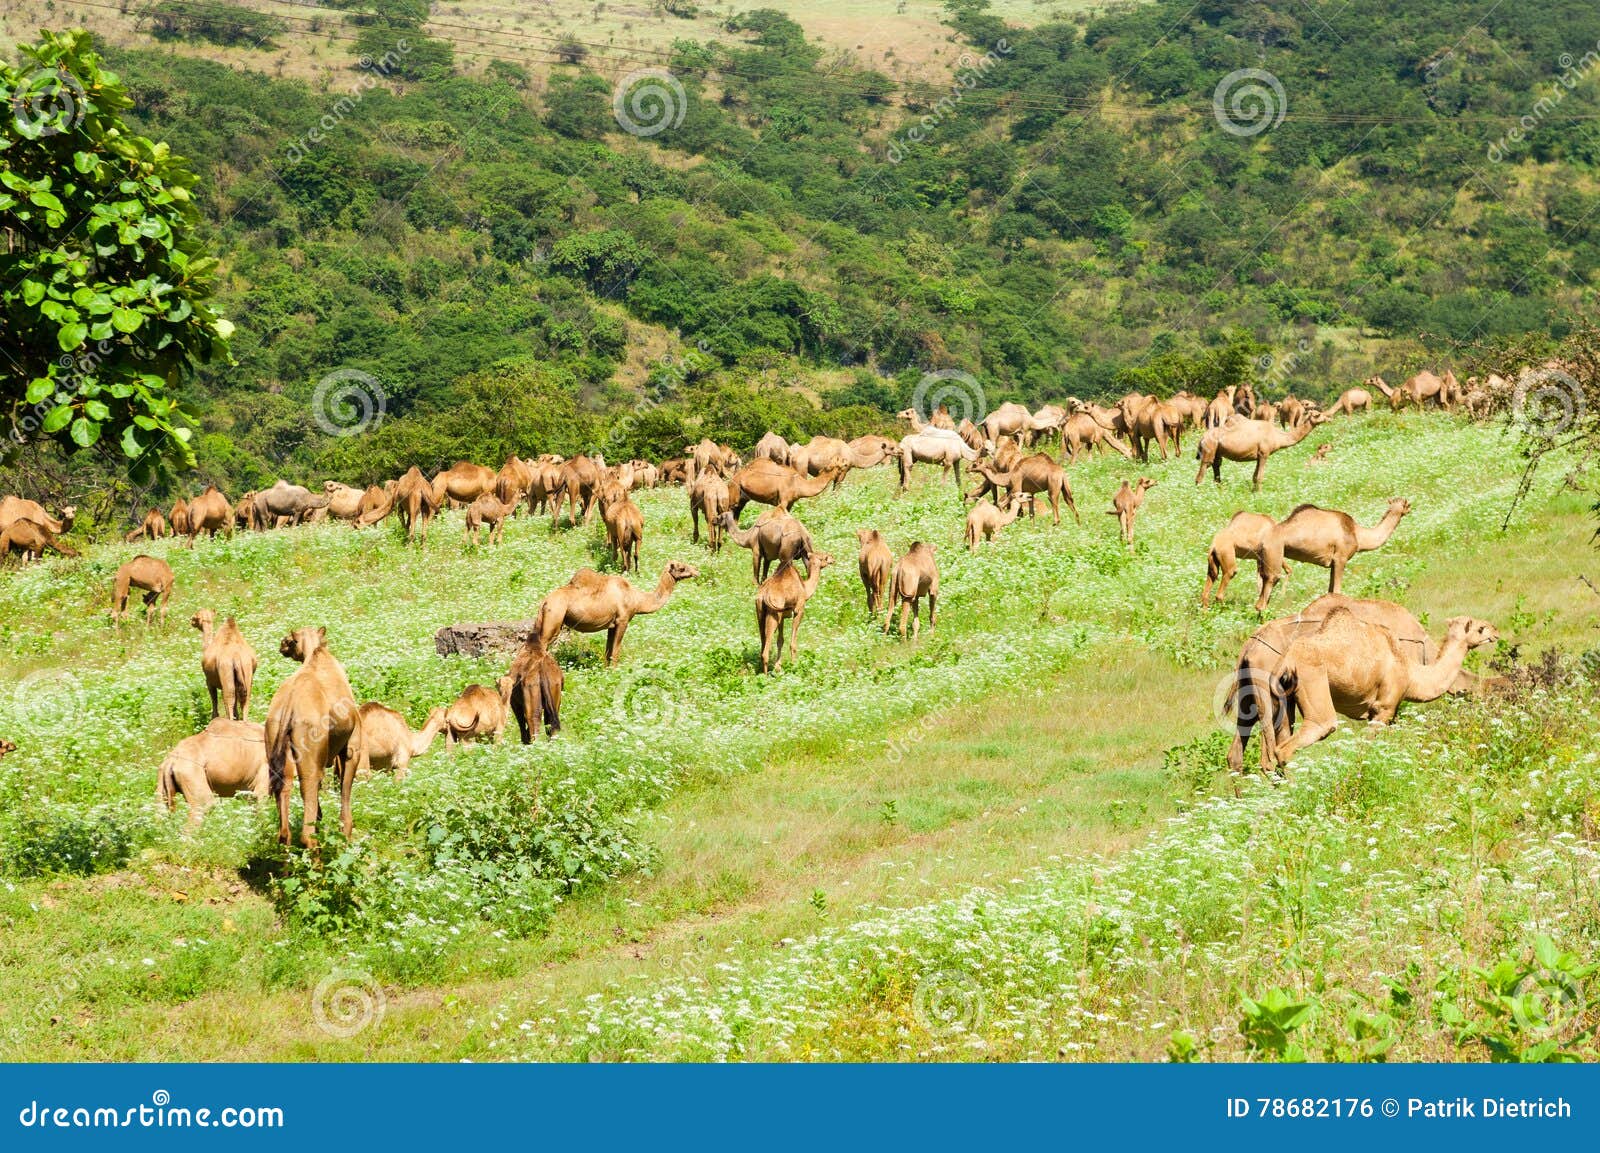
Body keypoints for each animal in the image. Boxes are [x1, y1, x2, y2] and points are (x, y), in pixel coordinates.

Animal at [265, 623, 366, 850]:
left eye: (291, 641)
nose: (282, 643)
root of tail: (289, 706)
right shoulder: (352, 748)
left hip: (276, 746)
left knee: (284, 827)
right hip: (311, 753)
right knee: (306, 830)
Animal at [534, 559, 697, 662]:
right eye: (682, 568)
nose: (697, 571)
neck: (636, 599)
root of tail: (544, 601)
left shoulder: (611, 625)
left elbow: (608, 652)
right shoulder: (622, 620)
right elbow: (616, 652)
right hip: (555, 616)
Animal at [1196, 412, 1331, 489]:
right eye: (1318, 414)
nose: (1329, 418)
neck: (1278, 436)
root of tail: (1202, 438)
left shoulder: (1258, 456)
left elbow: (1254, 477)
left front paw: (1253, 493)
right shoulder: (1264, 454)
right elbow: (1260, 477)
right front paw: (1259, 496)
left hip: (1217, 451)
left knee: (1216, 465)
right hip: (1209, 447)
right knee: (1204, 468)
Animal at [1248, 498, 1414, 617]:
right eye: (1407, 505)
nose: (1410, 508)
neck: (1357, 534)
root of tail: (1261, 540)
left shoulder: (1333, 563)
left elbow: (1330, 592)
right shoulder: (1341, 558)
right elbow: (1338, 591)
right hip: (1274, 553)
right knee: (1266, 593)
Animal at [1260, 607, 1497, 767]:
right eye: (1480, 628)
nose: (1495, 631)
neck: (1411, 673)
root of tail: (1287, 660)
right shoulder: (1383, 708)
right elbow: (1364, 749)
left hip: (1283, 697)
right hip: (1313, 684)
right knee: (1298, 740)